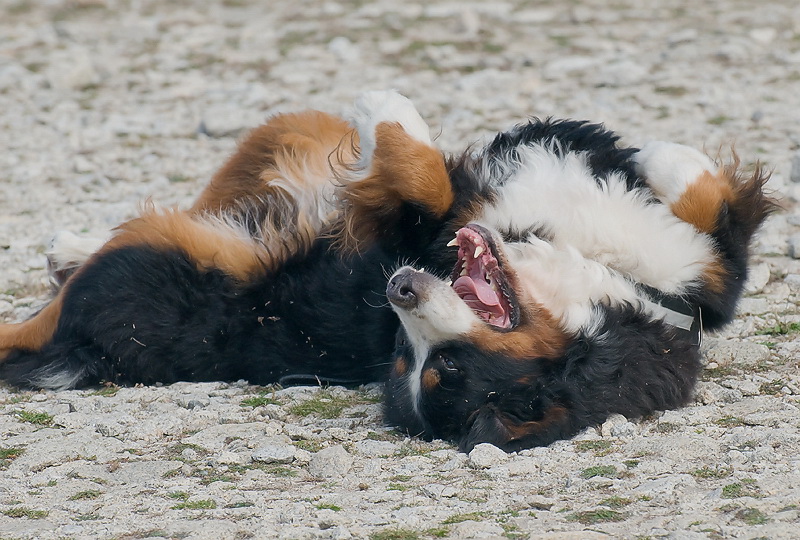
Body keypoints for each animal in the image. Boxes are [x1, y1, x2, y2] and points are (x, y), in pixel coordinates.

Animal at [0, 92, 776, 452]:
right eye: (405, 352)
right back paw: (67, 245)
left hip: (174, 251)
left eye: (442, 367)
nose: (399, 287)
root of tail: (85, 346)